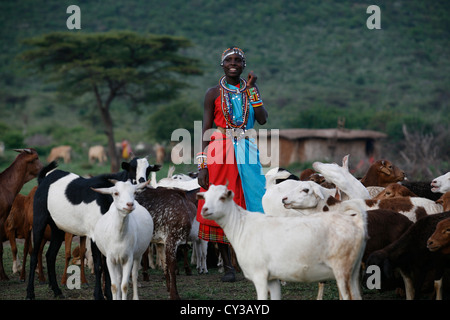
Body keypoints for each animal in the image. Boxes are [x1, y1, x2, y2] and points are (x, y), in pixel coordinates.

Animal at [199, 185, 368, 300]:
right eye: (205, 197)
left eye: (222, 197)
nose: (204, 210)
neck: (241, 226)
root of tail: (356, 222)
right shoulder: (272, 278)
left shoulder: (259, 275)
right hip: (353, 271)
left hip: (342, 270)